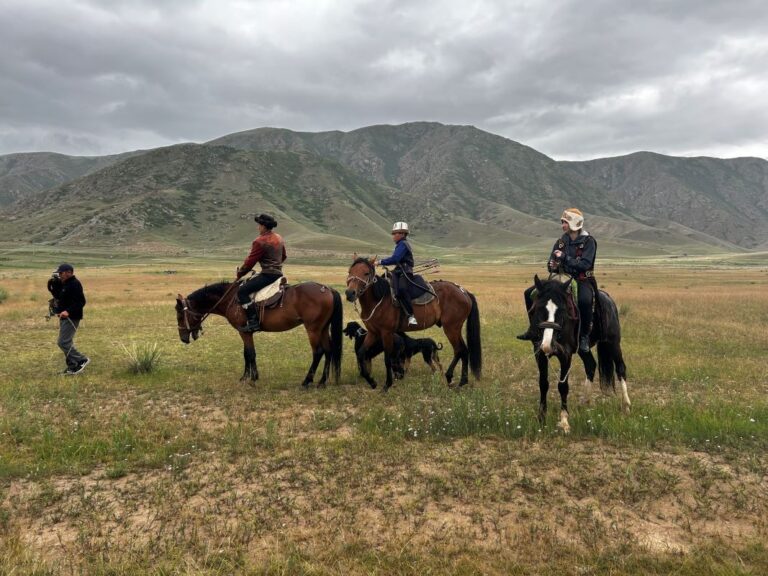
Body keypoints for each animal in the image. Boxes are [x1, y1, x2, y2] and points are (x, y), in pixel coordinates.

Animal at [176, 280, 344, 388]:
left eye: (179, 316)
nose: (183, 339)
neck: (230, 299)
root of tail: (328, 289)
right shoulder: (244, 332)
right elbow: (246, 353)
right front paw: (245, 377)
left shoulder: (244, 331)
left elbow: (250, 353)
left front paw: (252, 378)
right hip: (323, 328)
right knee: (328, 351)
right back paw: (322, 382)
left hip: (313, 329)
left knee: (318, 352)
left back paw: (307, 381)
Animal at [344, 258, 480, 390]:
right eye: (350, 271)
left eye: (366, 273)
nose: (350, 293)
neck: (379, 299)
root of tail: (464, 291)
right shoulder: (373, 333)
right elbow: (361, 354)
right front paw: (372, 382)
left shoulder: (386, 333)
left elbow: (387, 359)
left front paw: (387, 384)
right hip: (454, 329)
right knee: (464, 350)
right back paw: (462, 381)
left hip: (451, 328)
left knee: (459, 350)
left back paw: (452, 378)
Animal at [528, 274, 632, 432]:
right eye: (538, 309)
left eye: (562, 310)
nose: (547, 345)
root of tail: (608, 298)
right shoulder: (539, 353)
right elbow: (543, 383)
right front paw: (541, 418)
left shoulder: (565, 355)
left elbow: (563, 386)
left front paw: (564, 421)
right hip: (584, 350)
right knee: (591, 365)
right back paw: (584, 402)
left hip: (613, 343)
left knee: (621, 368)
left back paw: (626, 406)